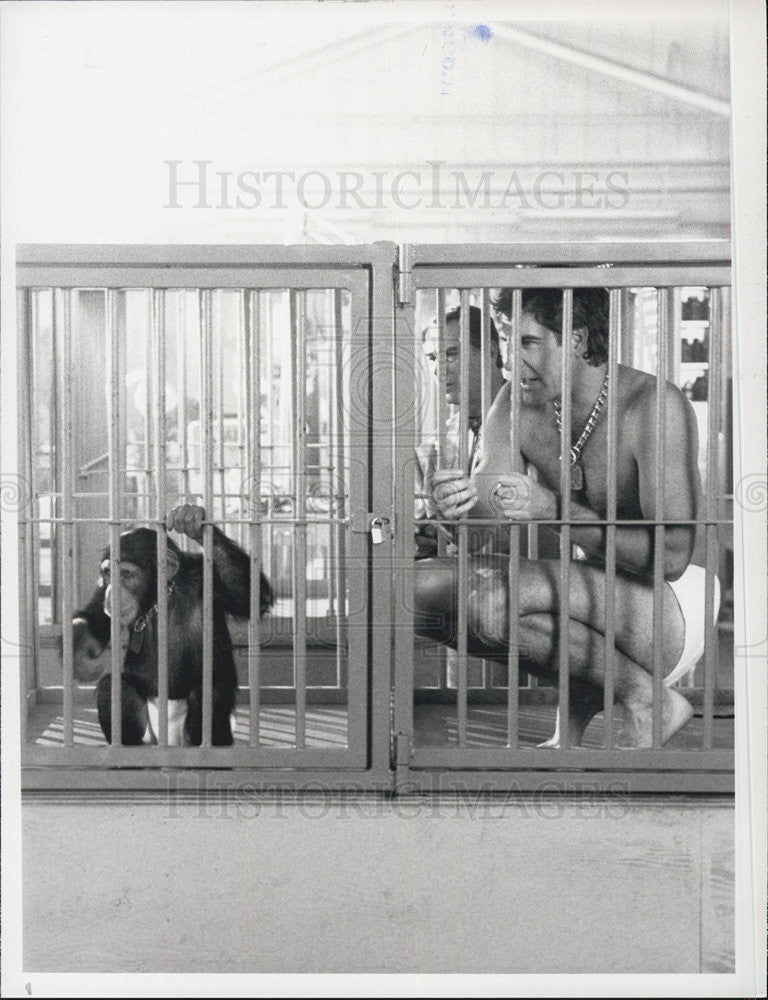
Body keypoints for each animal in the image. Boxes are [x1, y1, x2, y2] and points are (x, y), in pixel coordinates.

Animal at [70, 504, 272, 748]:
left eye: (126, 574)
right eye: (109, 574)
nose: (112, 591)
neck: (161, 599)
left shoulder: (208, 581)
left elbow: (253, 597)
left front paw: (193, 520)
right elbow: (97, 616)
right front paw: (80, 646)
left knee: (211, 694)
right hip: (151, 734)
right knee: (113, 687)